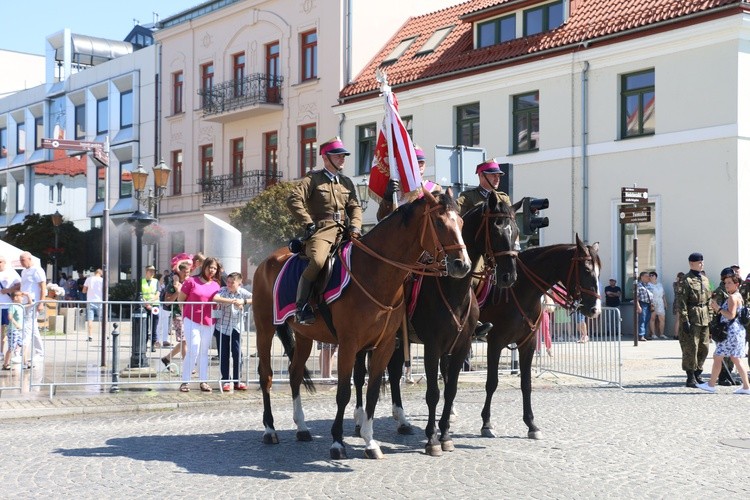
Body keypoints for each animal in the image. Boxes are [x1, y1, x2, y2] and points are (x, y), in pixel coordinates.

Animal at [253, 189, 470, 458]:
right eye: (440, 223)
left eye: (461, 223)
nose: (462, 264)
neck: (375, 272)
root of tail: (267, 261)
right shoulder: (349, 345)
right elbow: (344, 393)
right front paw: (337, 443)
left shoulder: (384, 345)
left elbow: (373, 392)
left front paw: (370, 441)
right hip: (264, 329)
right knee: (266, 376)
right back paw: (269, 429)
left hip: (304, 336)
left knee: (294, 374)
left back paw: (302, 427)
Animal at [354, 192, 520, 458]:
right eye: (496, 228)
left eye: (515, 231)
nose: (509, 276)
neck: (453, 289)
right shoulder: (432, 346)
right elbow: (433, 392)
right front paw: (432, 439)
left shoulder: (460, 346)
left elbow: (450, 390)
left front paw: (445, 434)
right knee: (359, 376)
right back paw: (360, 419)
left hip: (397, 340)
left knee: (394, 372)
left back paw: (402, 420)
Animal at [482, 234, 604, 438]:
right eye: (586, 270)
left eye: (598, 272)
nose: (595, 310)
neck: (519, 291)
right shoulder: (495, 342)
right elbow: (492, 382)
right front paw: (486, 423)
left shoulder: (528, 344)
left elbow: (526, 383)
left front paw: (531, 424)